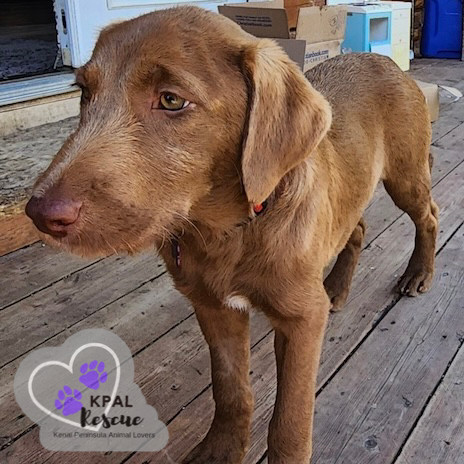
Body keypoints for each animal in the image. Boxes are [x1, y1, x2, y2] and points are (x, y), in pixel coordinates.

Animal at [25, 5, 438, 462]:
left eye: (171, 100)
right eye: (83, 93)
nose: (39, 213)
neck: (226, 232)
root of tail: (384, 61)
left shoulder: (301, 321)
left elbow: (290, 420)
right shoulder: (213, 308)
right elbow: (229, 389)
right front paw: (221, 448)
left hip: (405, 175)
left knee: (429, 216)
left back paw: (418, 274)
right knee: (357, 226)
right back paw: (335, 287)